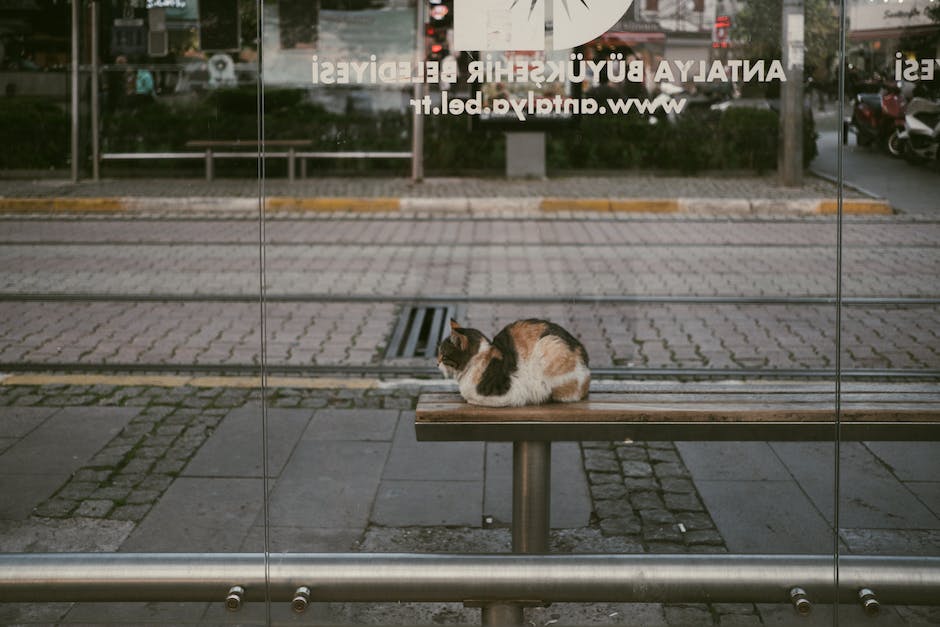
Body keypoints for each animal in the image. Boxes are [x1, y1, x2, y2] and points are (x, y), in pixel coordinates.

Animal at [436, 318, 588, 408]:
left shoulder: (512, 393)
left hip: (549, 345)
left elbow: (472, 397)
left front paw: (469, 399)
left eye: (443, 355)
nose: (437, 363)